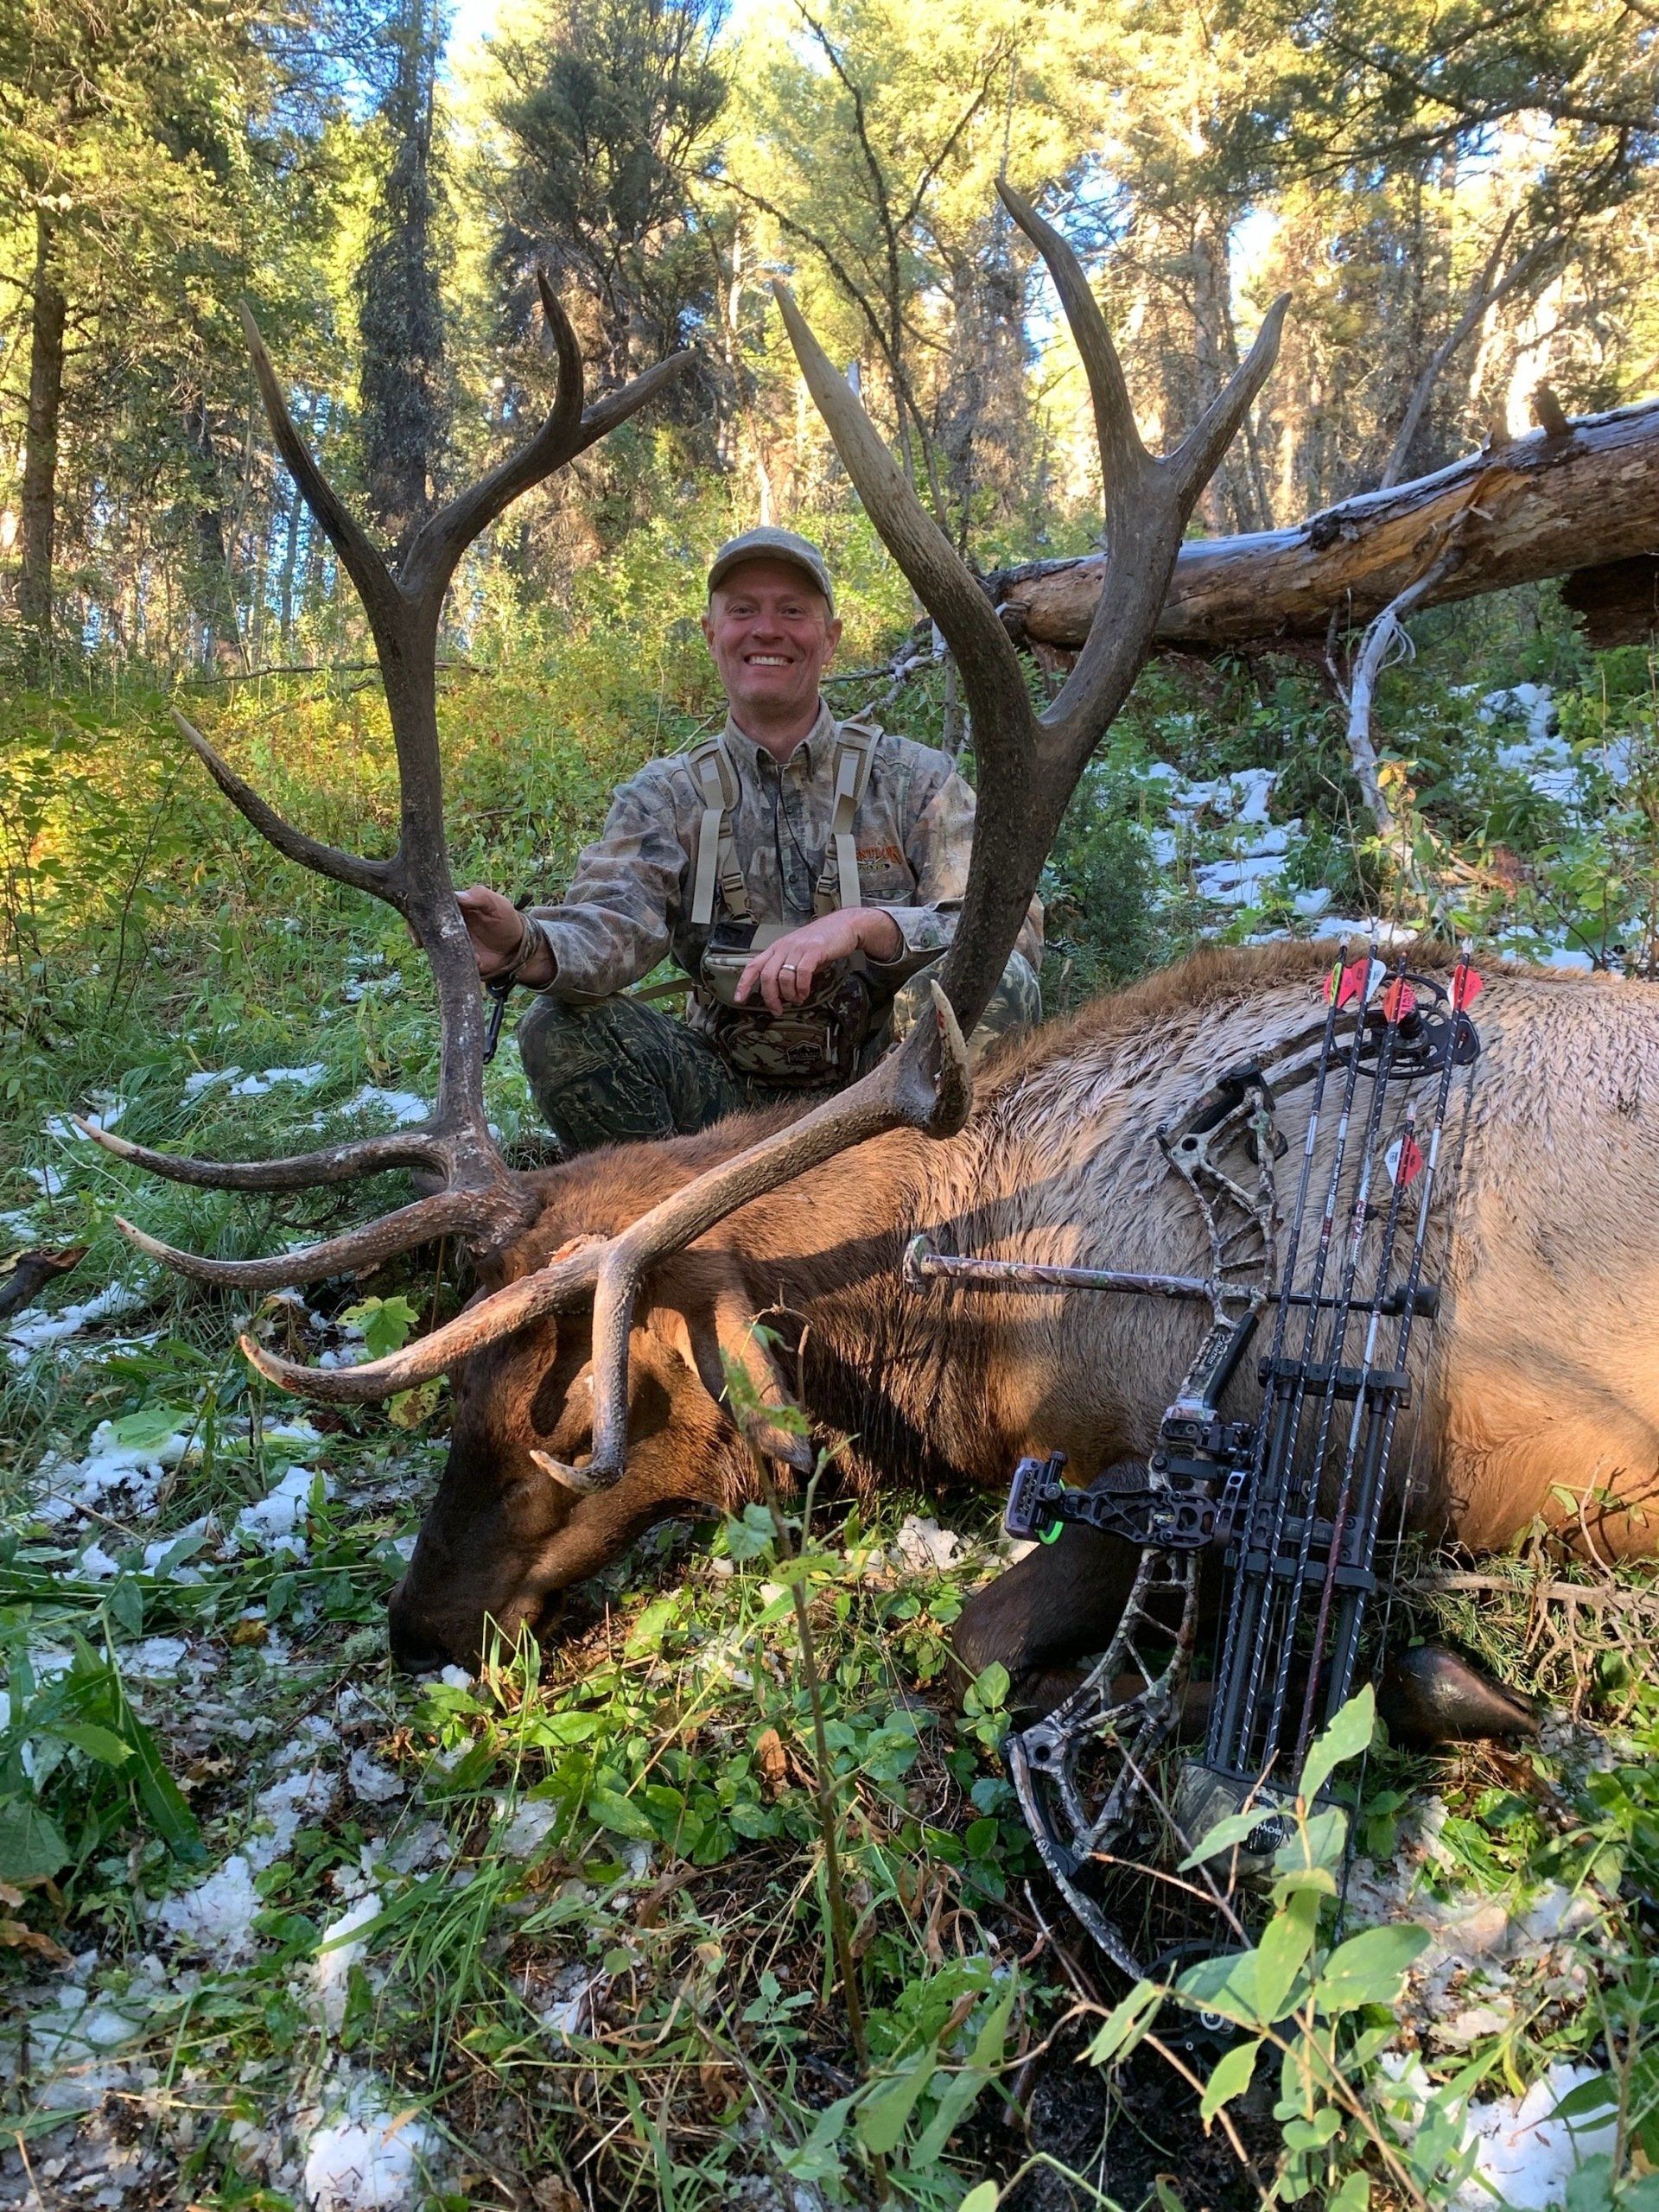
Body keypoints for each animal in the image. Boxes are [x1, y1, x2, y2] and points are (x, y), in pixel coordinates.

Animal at [82, 191, 1657, 1736]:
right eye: (465, 1364)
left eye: (577, 1415)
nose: (419, 1628)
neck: (981, 1323)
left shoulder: (1287, 1448)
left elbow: (974, 1643)